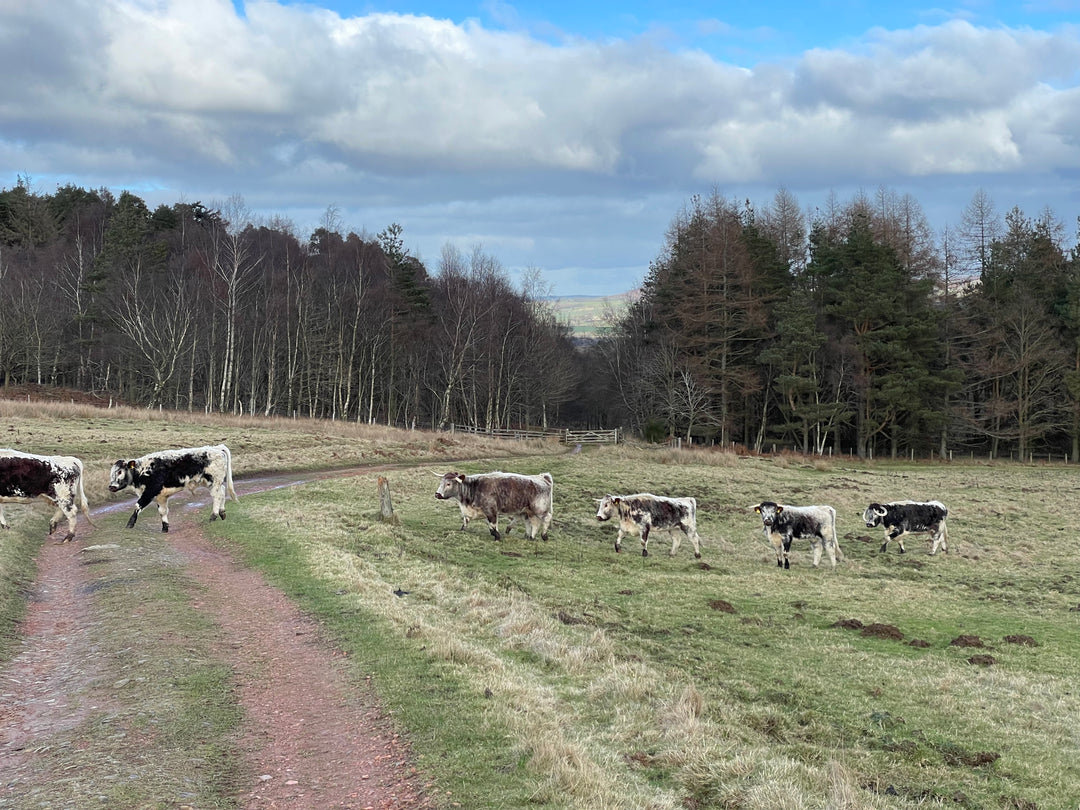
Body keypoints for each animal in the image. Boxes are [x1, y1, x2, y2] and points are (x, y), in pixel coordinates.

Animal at [109, 444, 238, 532]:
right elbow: (162, 511)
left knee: (217, 496)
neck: (143, 470)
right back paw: (222, 513)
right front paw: (165, 527)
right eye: (111, 473)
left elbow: (137, 505)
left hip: (214, 481)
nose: (111, 486)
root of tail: (216, 448)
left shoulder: (150, 491)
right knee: (222, 493)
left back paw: (213, 516)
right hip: (213, 483)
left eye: (120, 471)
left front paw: (130, 523)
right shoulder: (160, 496)